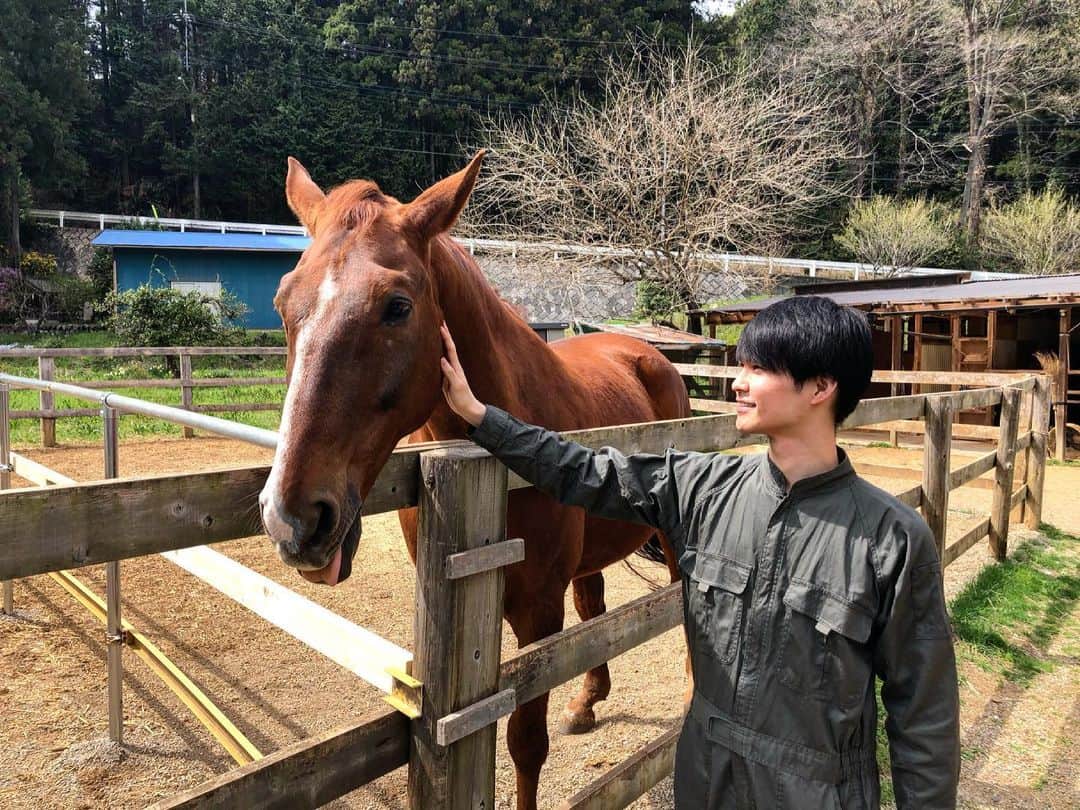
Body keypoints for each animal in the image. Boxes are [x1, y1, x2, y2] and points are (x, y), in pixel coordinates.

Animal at [258, 151, 691, 810]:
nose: (293, 520)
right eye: (283, 302)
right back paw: (588, 700)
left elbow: (526, 743)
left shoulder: (538, 612)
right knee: (594, 608)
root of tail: (648, 352)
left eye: (397, 305)